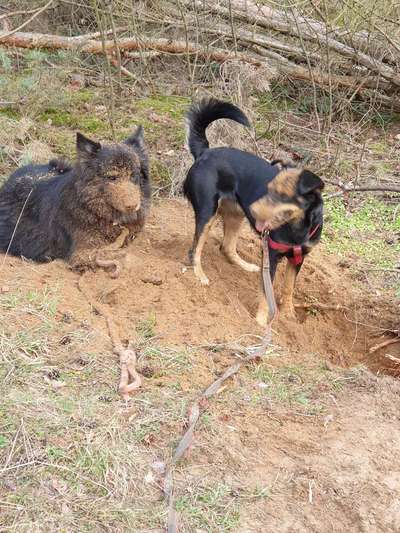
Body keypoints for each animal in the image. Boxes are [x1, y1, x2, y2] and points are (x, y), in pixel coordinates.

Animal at [183, 98, 324, 324]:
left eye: (282, 195)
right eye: (268, 188)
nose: (253, 208)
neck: (297, 228)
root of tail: (205, 152)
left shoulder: (298, 258)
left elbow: (288, 288)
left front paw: (288, 314)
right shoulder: (271, 256)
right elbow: (266, 293)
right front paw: (259, 322)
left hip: (236, 214)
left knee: (226, 247)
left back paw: (245, 266)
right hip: (207, 212)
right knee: (195, 249)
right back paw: (200, 275)